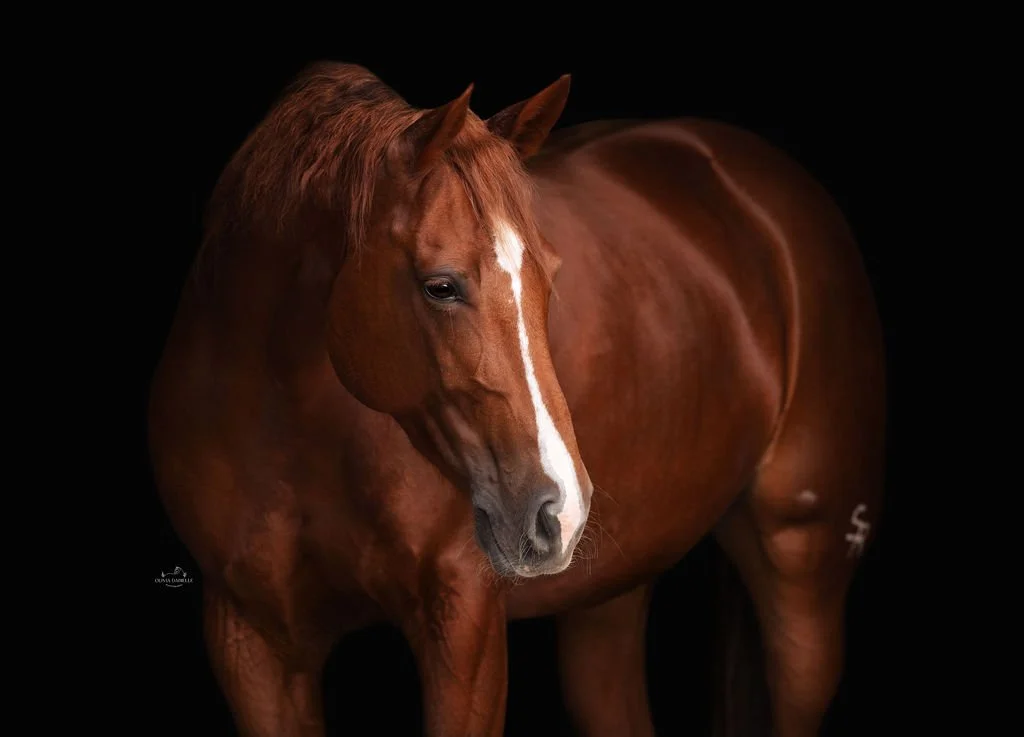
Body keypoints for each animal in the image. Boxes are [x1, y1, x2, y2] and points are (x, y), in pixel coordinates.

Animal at [148, 61, 885, 737]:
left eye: (548, 276)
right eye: (440, 285)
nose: (559, 509)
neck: (292, 432)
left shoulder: (464, 628)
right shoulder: (252, 646)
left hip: (803, 575)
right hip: (610, 599)